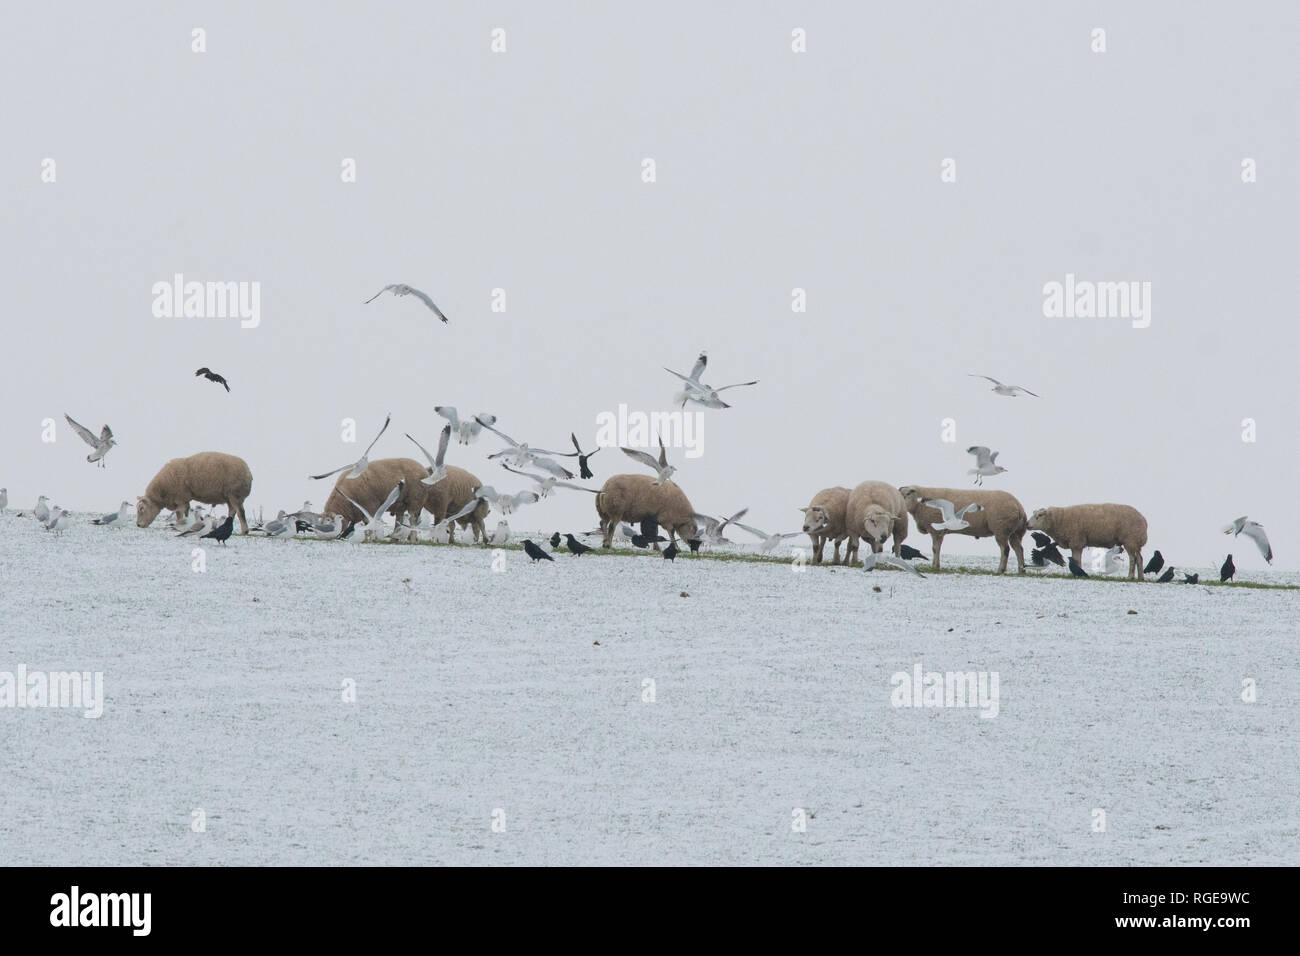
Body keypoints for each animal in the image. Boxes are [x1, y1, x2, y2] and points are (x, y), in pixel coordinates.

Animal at [898, 485, 1028, 574]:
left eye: (908, 494)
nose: (901, 504)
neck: (918, 506)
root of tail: (1018, 506)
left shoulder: (936, 531)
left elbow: (935, 549)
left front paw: (935, 566)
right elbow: (936, 549)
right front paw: (935, 565)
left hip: (1001, 529)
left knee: (1005, 549)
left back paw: (1001, 569)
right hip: (1015, 532)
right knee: (1019, 549)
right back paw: (1021, 570)